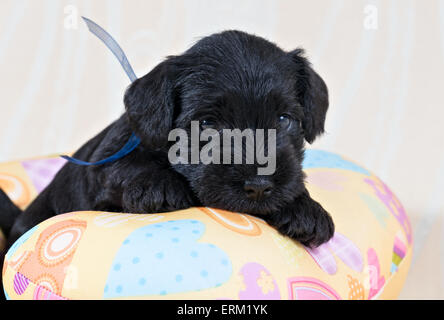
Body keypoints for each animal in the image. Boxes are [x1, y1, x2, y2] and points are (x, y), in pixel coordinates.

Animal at [0, 30, 332, 255]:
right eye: (207, 124)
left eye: (284, 120)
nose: (259, 186)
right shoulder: (106, 162)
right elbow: (124, 167)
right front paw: (158, 186)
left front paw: (306, 209)